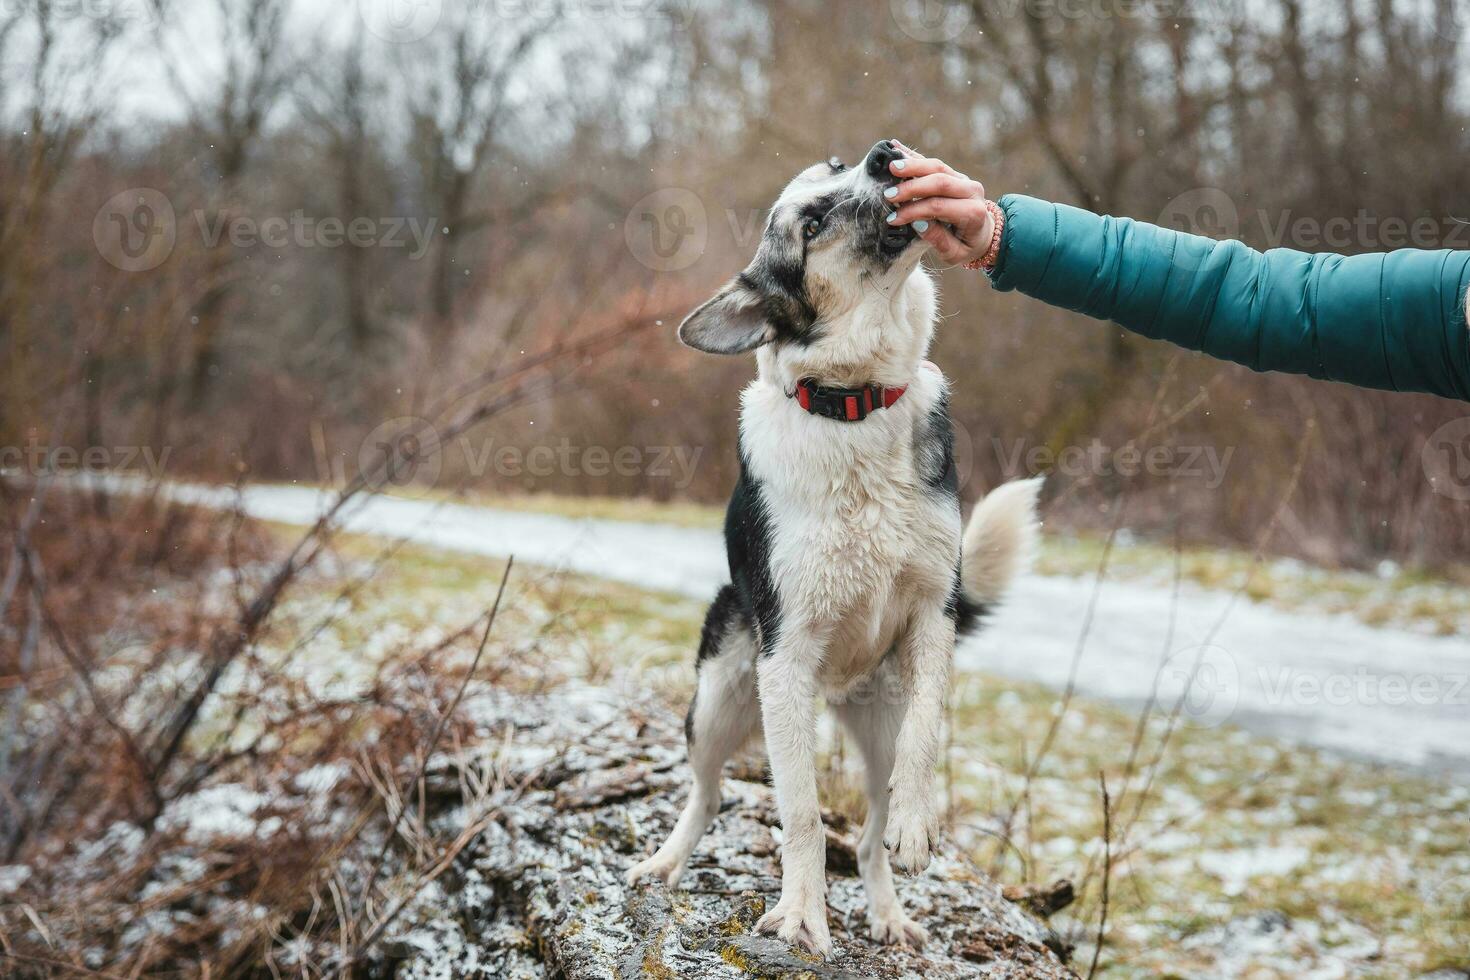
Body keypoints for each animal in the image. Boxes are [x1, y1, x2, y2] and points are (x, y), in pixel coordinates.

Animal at [626, 141, 1040, 963]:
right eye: (811, 224)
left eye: (838, 164)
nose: (888, 152)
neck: (855, 404)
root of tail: (840, 687)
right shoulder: (784, 661)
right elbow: (803, 818)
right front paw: (801, 916)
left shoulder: (932, 615)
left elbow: (924, 736)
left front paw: (916, 824)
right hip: (722, 696)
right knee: (708, 792)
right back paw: (666, 862)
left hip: (872, 719)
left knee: (873, 829)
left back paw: (888, 908)